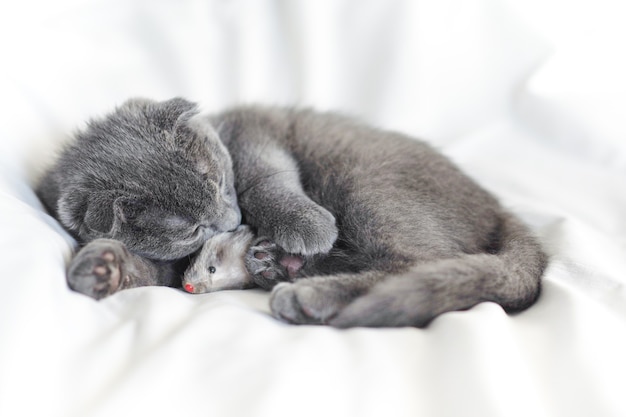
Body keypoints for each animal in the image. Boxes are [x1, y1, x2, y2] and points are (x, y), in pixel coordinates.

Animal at [36, 98, 544, 328]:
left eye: (219, 184)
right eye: (192, 229)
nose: (230, 222)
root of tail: (498, 207)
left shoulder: (253, 130)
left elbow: (265, 177)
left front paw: (306, 226)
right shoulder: (175, 267)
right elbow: (150, 271)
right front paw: (100, 267)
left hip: (367, 183)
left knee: (421, 264)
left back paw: (305, 292)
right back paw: (285, 270)